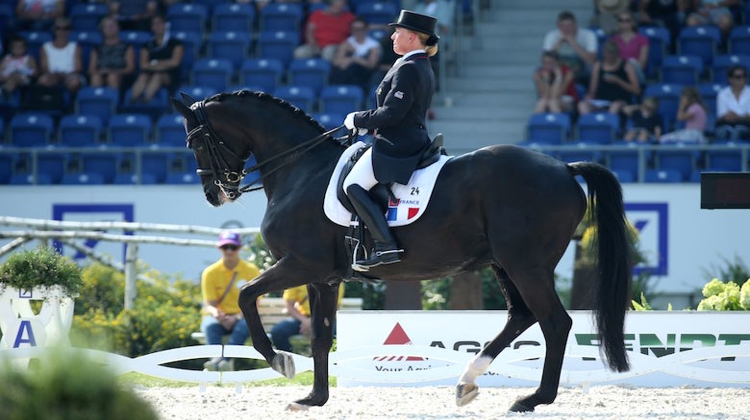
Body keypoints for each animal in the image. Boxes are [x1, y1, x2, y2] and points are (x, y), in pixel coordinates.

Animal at [172, 91, 636, 414]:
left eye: (195, 141)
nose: (215, 194)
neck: (301, 170)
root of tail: (564, 167)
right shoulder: (324, 278)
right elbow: (321, 336)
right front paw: (314, 398)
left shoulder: (300, 264)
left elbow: (246, 295)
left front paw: (280, 362)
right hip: (505, 264)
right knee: (521, 316)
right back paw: (467, 382)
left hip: (527, 265)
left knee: (555, 322)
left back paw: (532, 399)